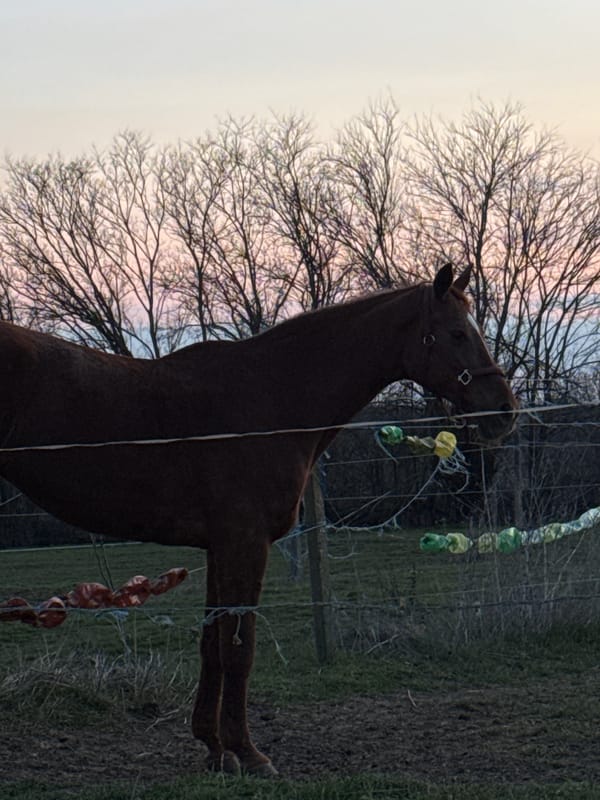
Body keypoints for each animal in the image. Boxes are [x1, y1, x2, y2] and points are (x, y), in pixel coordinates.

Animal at [0, 263, 517, 776]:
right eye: (456, 333)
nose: (504, 411)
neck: (270, 396)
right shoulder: (245, 543)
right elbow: (239, 649)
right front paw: (247, 752)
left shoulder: (219, 548)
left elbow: (213, 643)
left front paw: (214, 748)